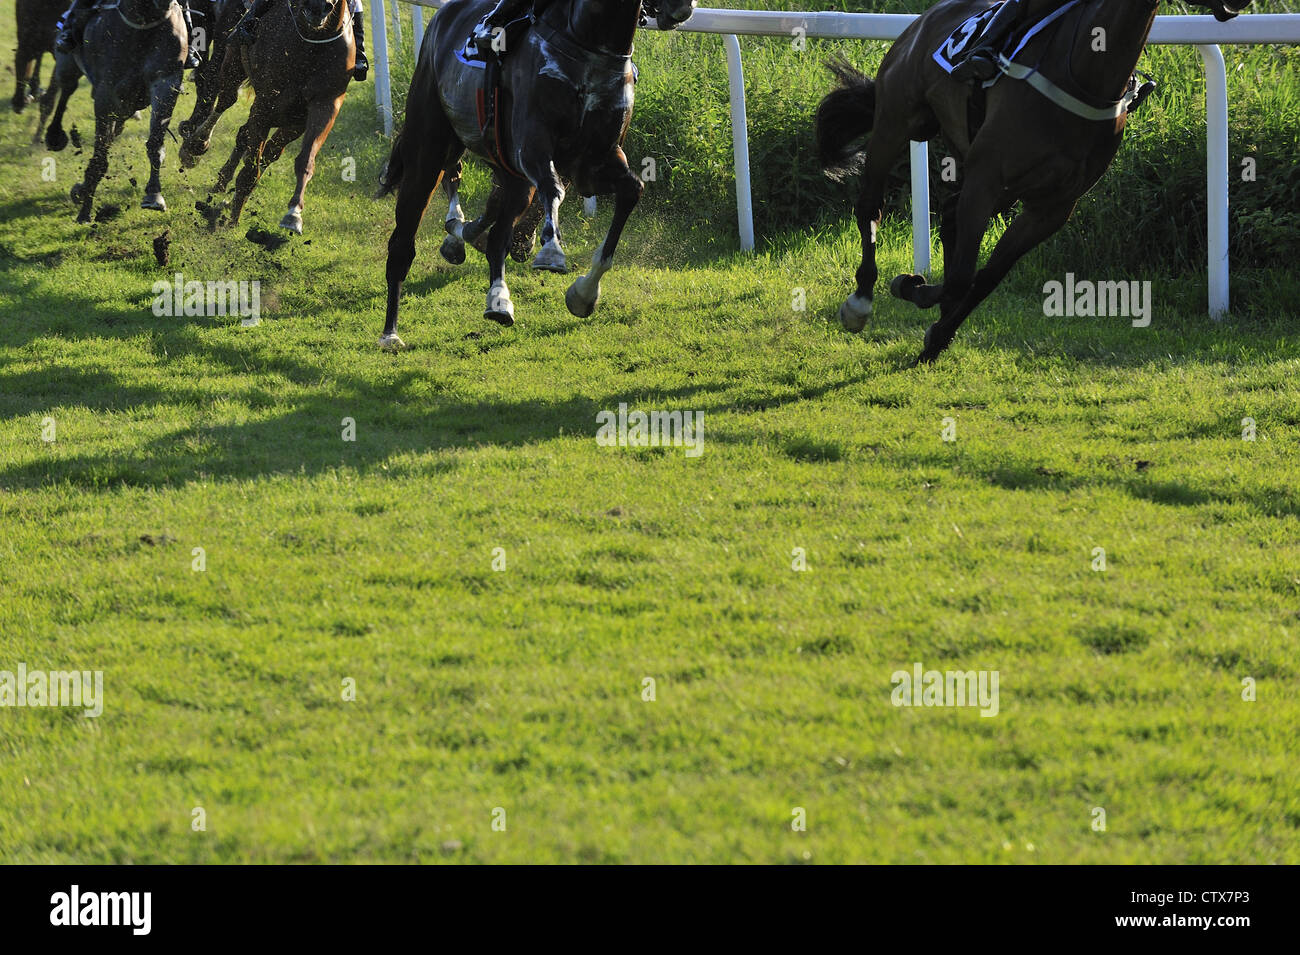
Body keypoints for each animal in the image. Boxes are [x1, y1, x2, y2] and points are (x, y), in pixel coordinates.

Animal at [180, 0, 356, 235]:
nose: (317, 7)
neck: (312, 44)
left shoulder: (320, 108)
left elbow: (303, 159)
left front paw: (293, 214)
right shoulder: (265, 103)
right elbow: (251, 167)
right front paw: (233, 218)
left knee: (250, 137)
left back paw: (223, 180)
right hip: (233, 64)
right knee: (224, 101)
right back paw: (196, 145)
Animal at [377, 0, 696, 348]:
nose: (683, 8)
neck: (590, 43)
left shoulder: (595, 161)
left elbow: (632, 190)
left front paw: (584, 293)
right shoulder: (532, 146)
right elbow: (553, 188)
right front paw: (552, 251)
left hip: (509, 174)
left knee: (497, 234)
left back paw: (496, 295)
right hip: (428, 150)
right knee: (404, 240)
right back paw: (390, 331)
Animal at [816, 0, 1253, 366]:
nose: (1238, 2)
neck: (1087, 73)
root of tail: (923, 21)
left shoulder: (1051, 208)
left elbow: (984, 278)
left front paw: (937, 331)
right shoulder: (988, 178)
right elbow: (961, 277)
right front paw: (914, 289)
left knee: (951, 218)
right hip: (895, 123)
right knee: (870, 207)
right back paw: (860, 301)